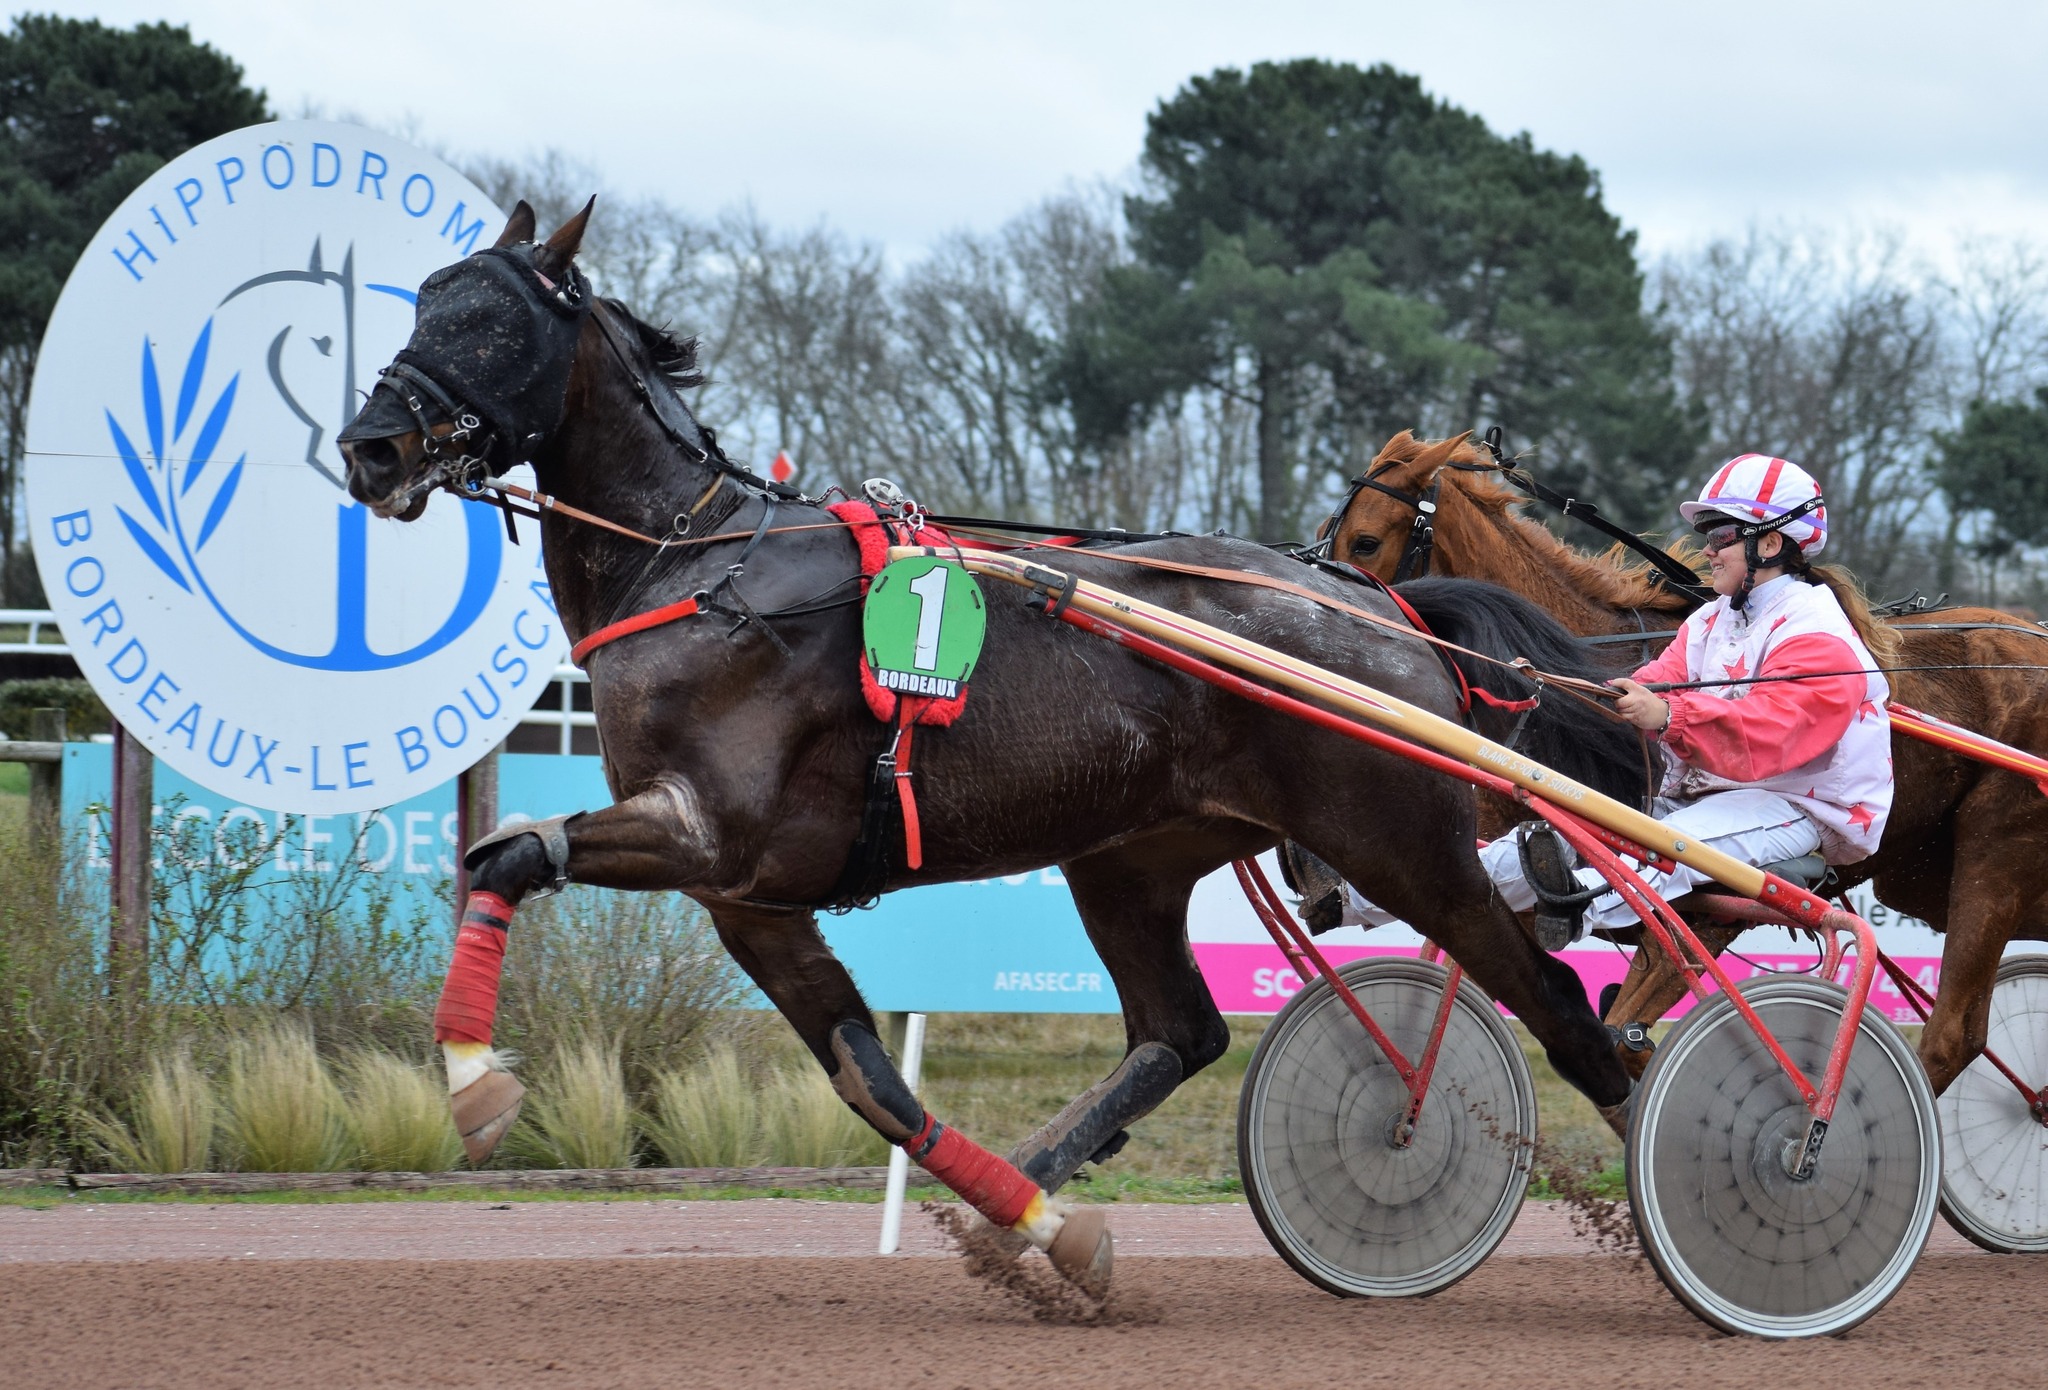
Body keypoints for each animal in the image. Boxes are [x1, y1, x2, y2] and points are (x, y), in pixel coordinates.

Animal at [335, 203, 1638, 1293]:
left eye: (490, 319)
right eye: (424, 299)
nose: (371, 447)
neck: (698, 570)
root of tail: (1381, 606)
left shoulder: (708, 832)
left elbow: (510, 855)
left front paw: (476, 1088)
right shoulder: (746, 893)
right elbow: (867, 1076)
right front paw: (1047, 1233)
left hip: (1401, 842)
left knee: (1564, 1010)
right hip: (1127, 858)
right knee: (1182, 1032)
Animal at [1327, 431, 2048, 1097]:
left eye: (1364, 541)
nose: (1331, 620)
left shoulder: (1716, 903)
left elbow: (1631, 1034)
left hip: (1994, 855)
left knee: (1954, 1033)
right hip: (1923, 875)